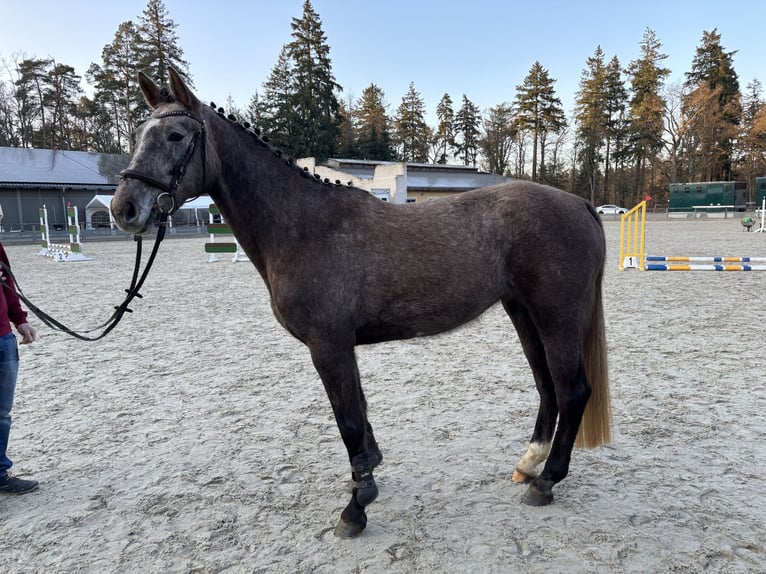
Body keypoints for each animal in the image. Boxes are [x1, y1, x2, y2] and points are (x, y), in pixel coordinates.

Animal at [111, 68, 611, 538]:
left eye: (176, 136)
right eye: (139, 134)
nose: (124, 209)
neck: (302, 225)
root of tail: (578, 204)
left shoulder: (328, 346)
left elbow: (348, 421)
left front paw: (356, 508)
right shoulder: (341, 347)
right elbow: (361, 417)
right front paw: (367, 473)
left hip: (556, 317)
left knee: (572, 391)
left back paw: (546, 482)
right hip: (524, 314)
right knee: (547, 388)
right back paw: (528, 465)